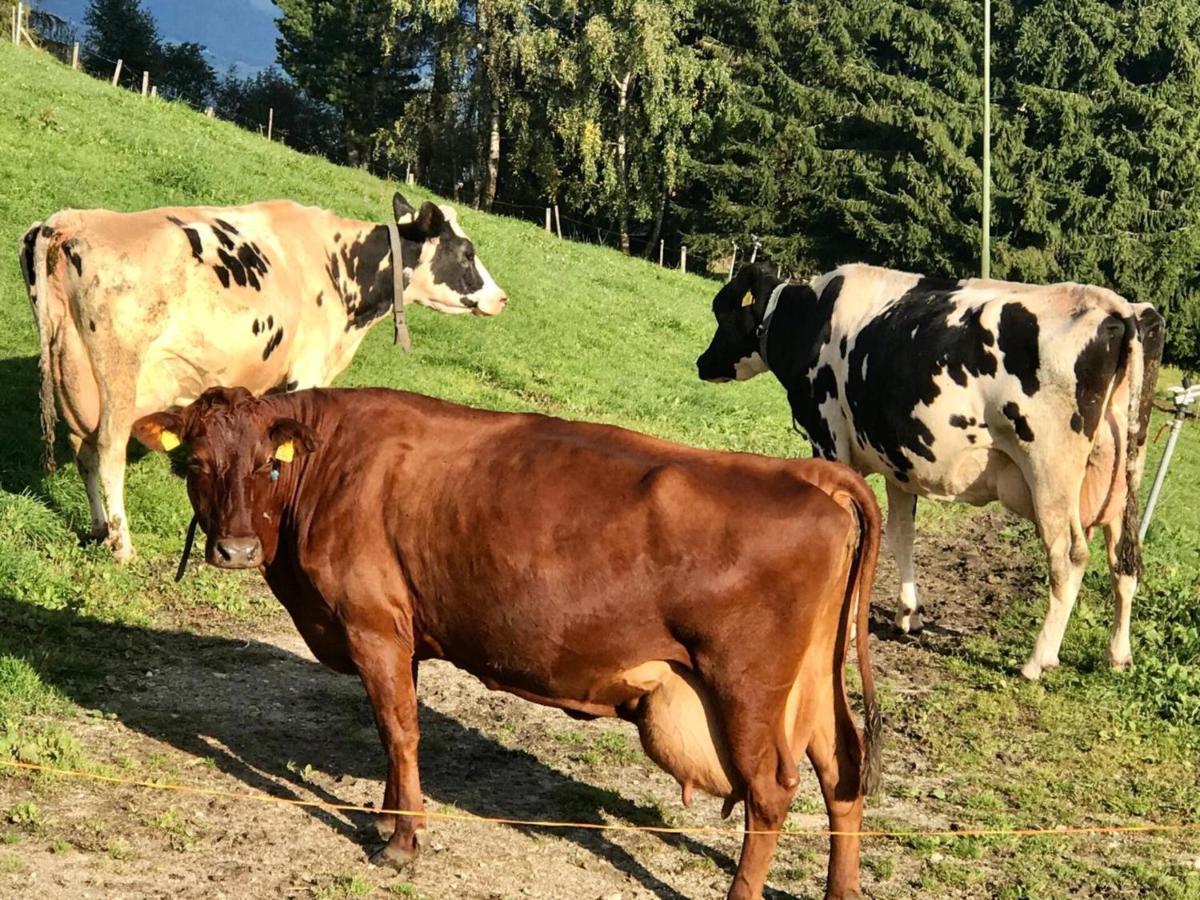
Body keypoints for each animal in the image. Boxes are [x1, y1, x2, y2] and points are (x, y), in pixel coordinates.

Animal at [133, 388, 883, 900]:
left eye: (267, 465)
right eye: (196, 463)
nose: (234, 548)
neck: (329, 468)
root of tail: (805, 473)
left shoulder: (373, 626)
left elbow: (399, 730)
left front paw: (402, 842)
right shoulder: (401, 637)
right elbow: (392, 730)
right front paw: (389, 817)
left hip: (747, 687)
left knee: (772, 792)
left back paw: (740, 893)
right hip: (810, 685)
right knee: (841, 770)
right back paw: (841, 890)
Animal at [696, 259, 1161, 676]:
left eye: (722, 310)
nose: (702, 363)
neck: (812, 316)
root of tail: (1116, 305)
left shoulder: (829, 443)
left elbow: (853, 533)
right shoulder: (897, 460)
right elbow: (901, 533)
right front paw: (909, 614)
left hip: (1051, 474)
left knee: (1070, 557)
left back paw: (1037, 661)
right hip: (1122, 479)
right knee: (1123, 560)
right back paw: (1118, 655)